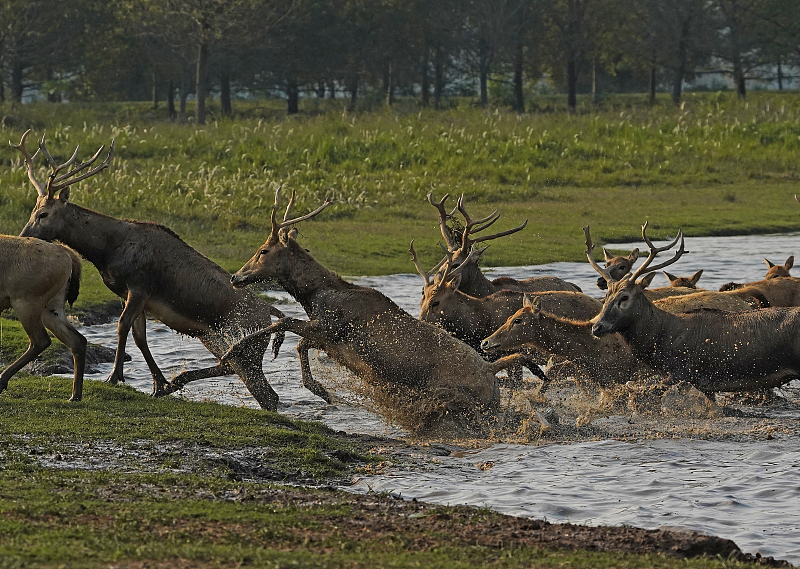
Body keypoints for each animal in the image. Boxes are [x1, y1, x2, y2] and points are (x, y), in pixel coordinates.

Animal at [0, 235, 87, 400]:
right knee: (78, 340)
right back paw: (75, 395)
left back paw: (2, 380)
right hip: (52, 307)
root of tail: (69, 255)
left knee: (41, 340)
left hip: (26, 302)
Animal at [12, 130, 290, 408]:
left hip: (242, 343)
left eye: (44, 214)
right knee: (262, 391)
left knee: (260, 387)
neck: (106, 251)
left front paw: (115, 376)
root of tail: (271, 312)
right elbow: (139, 336)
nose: (24, 236)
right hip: (221, 341)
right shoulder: (132, 295)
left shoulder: (139, 286)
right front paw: (158, 384)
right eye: (33, 210)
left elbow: (122, 326)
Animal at [225, 189, 552, 432]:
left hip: (461, 399)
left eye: (263, 250)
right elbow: (299, 341)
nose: (236, 277)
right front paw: (318, 387)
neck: (317, 296)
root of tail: (489, 371)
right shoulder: (327, 336)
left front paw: (234, 350)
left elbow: (285, 326)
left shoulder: (332, 328)